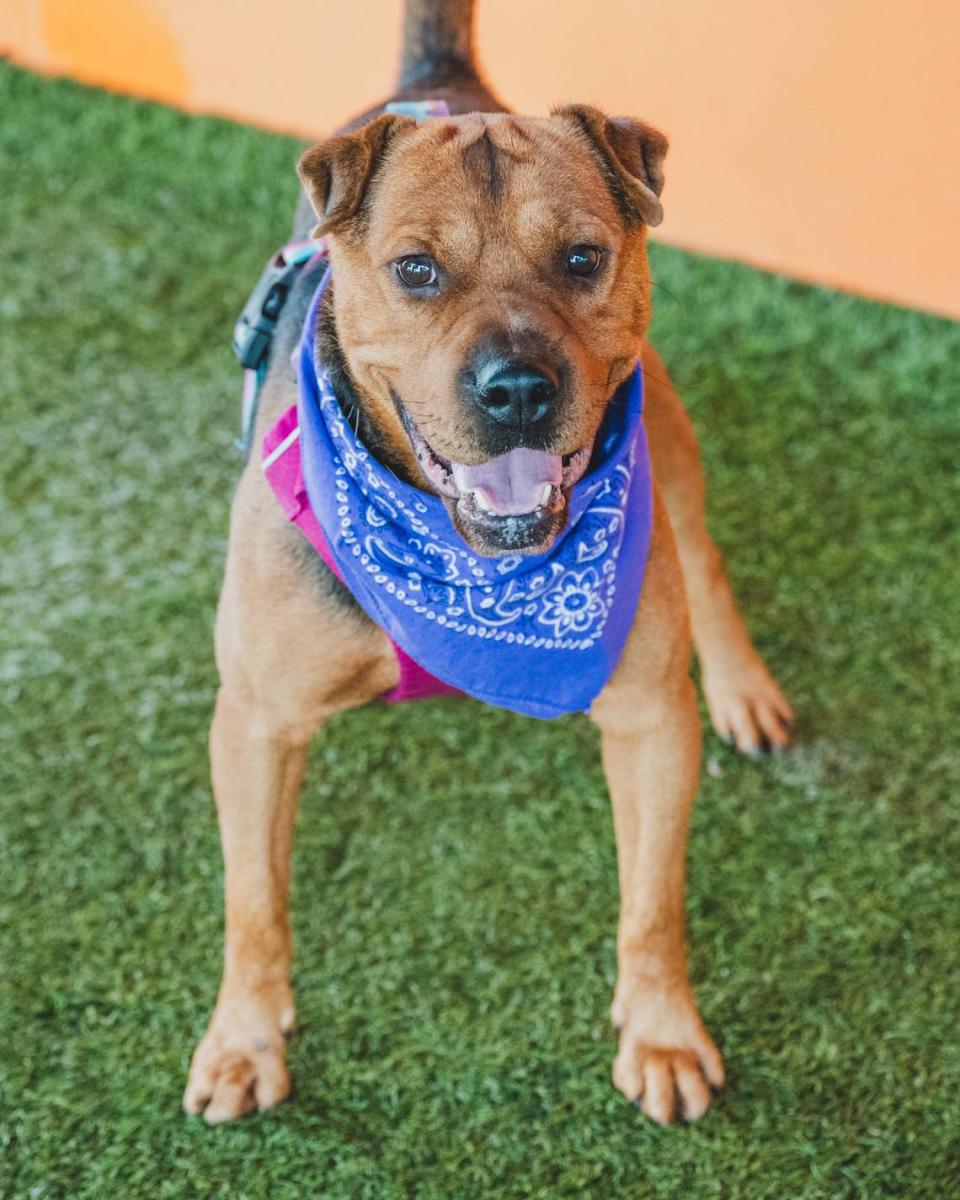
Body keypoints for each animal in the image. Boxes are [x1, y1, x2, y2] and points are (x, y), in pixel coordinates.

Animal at [183, 0, 792, 1123]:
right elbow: (253, 904)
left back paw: (742, 685)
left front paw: (662, 1032)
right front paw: (243, 1040)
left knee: (706, 556)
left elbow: (653, 902)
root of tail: (442, 84)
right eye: (416, 271)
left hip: (668, 431)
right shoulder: (254, 722)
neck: (474, 573)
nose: (516, 389)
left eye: (584, 258)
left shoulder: (650, 719)